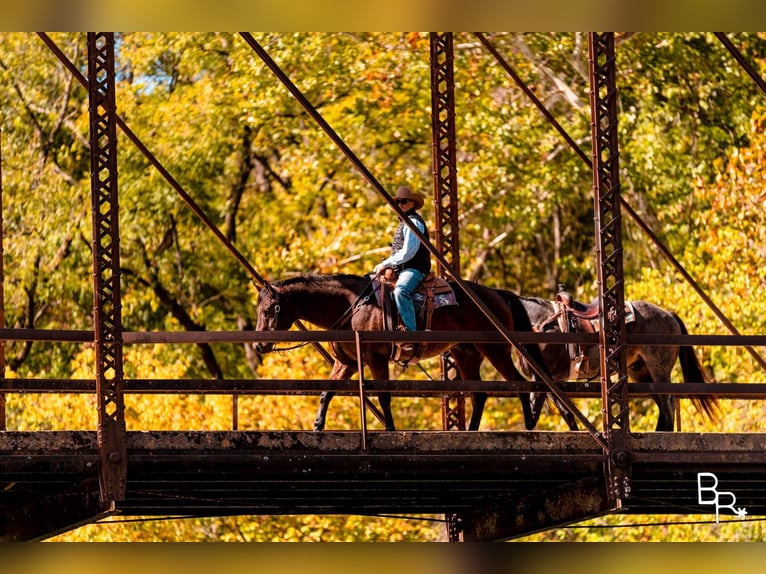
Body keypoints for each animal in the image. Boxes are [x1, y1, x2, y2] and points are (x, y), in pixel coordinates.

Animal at [255, 274, 544, 432]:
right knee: (479, 393)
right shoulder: (347, 363)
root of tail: (497, 294)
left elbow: (383, 395)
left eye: (269, 310)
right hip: (467, 355)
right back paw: (471, 432)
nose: (258, 346)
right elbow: (327, 391)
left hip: (495, 349)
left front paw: (390, 428)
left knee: (516, 382)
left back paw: (530, 424)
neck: (353, 307)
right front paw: (317, 426)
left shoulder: (375, 359)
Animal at [508, 292, 724, 432]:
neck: (541, 323)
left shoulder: (544, 377)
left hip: (658, 369)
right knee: (663, 404)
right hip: (642, 374)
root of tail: (669, 315)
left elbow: (536, 411)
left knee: (668, 403)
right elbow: (565, 412)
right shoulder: (550, 380)